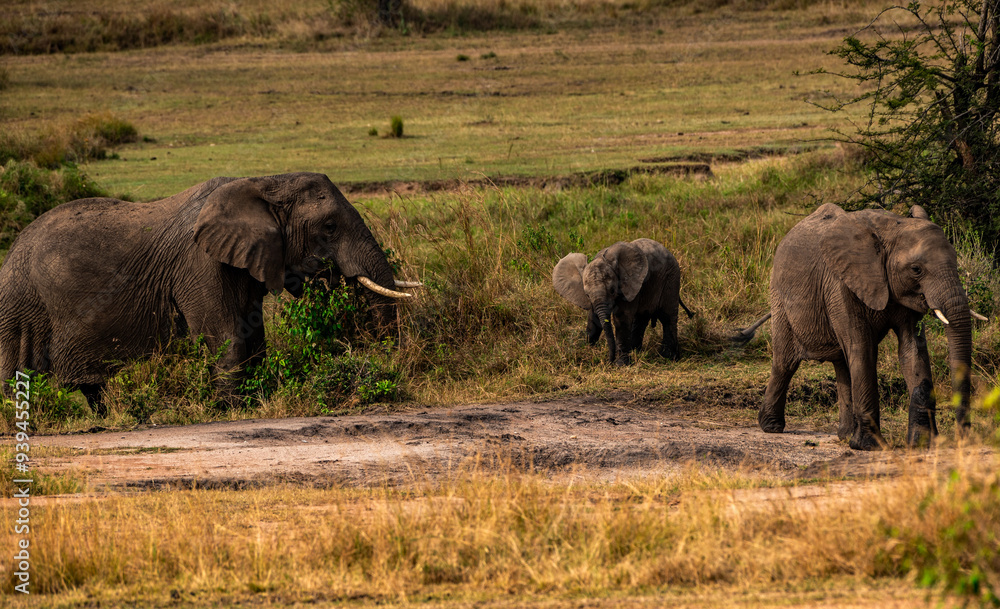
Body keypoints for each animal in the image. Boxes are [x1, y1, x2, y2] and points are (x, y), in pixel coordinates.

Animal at [0, 172, 417, 413]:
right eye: (329, 227)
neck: (266, 182)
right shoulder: (198, 263)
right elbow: (225, 334)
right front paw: (231, 410)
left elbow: (254, 336)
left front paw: (254, 401)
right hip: (20, 305)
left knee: (89, 387)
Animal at [553, 238, 691, 365]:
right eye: (586, 294)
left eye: (613, 290)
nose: (609, 361)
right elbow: (593, 318)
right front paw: (587, 350)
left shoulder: (629, 285)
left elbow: (622, 318)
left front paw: (621, 365)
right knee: (641, 318)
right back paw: (636, 351)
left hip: (672, 278)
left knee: (667, 317)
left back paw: (668, 358)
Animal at [745, 202, 980, 450]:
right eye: (916, 269)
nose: (963, 438)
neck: (891, 229)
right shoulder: (840, 284)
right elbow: (862, 348)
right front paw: (869, 446)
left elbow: (913, 350)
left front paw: (921, 444)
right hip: (779, 297)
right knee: (785, 362)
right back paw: (771, 426)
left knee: (842, 363)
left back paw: (845, 435)